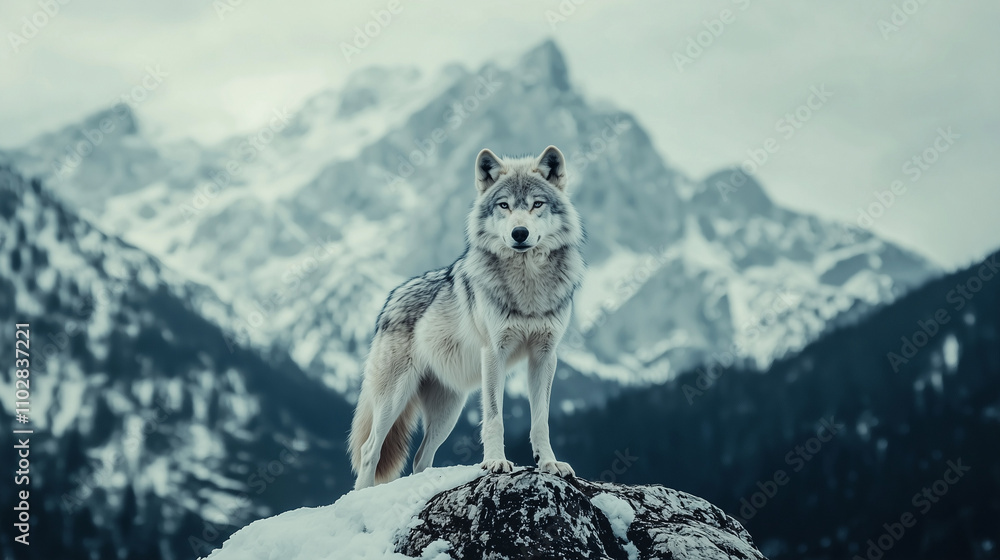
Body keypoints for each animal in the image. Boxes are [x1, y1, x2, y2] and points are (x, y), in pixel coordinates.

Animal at [349, 145, 585, 489]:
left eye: (537, 204)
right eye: (504, 205)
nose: (519, 233)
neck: (528, 285)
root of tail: (390, 299)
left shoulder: (545, 355)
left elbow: (541, 420)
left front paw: (549, 463)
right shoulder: (494, 353)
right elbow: (495, 417)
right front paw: (496, 462)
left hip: (448, 412)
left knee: (420, 459)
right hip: (394, 399)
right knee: (369, 450)